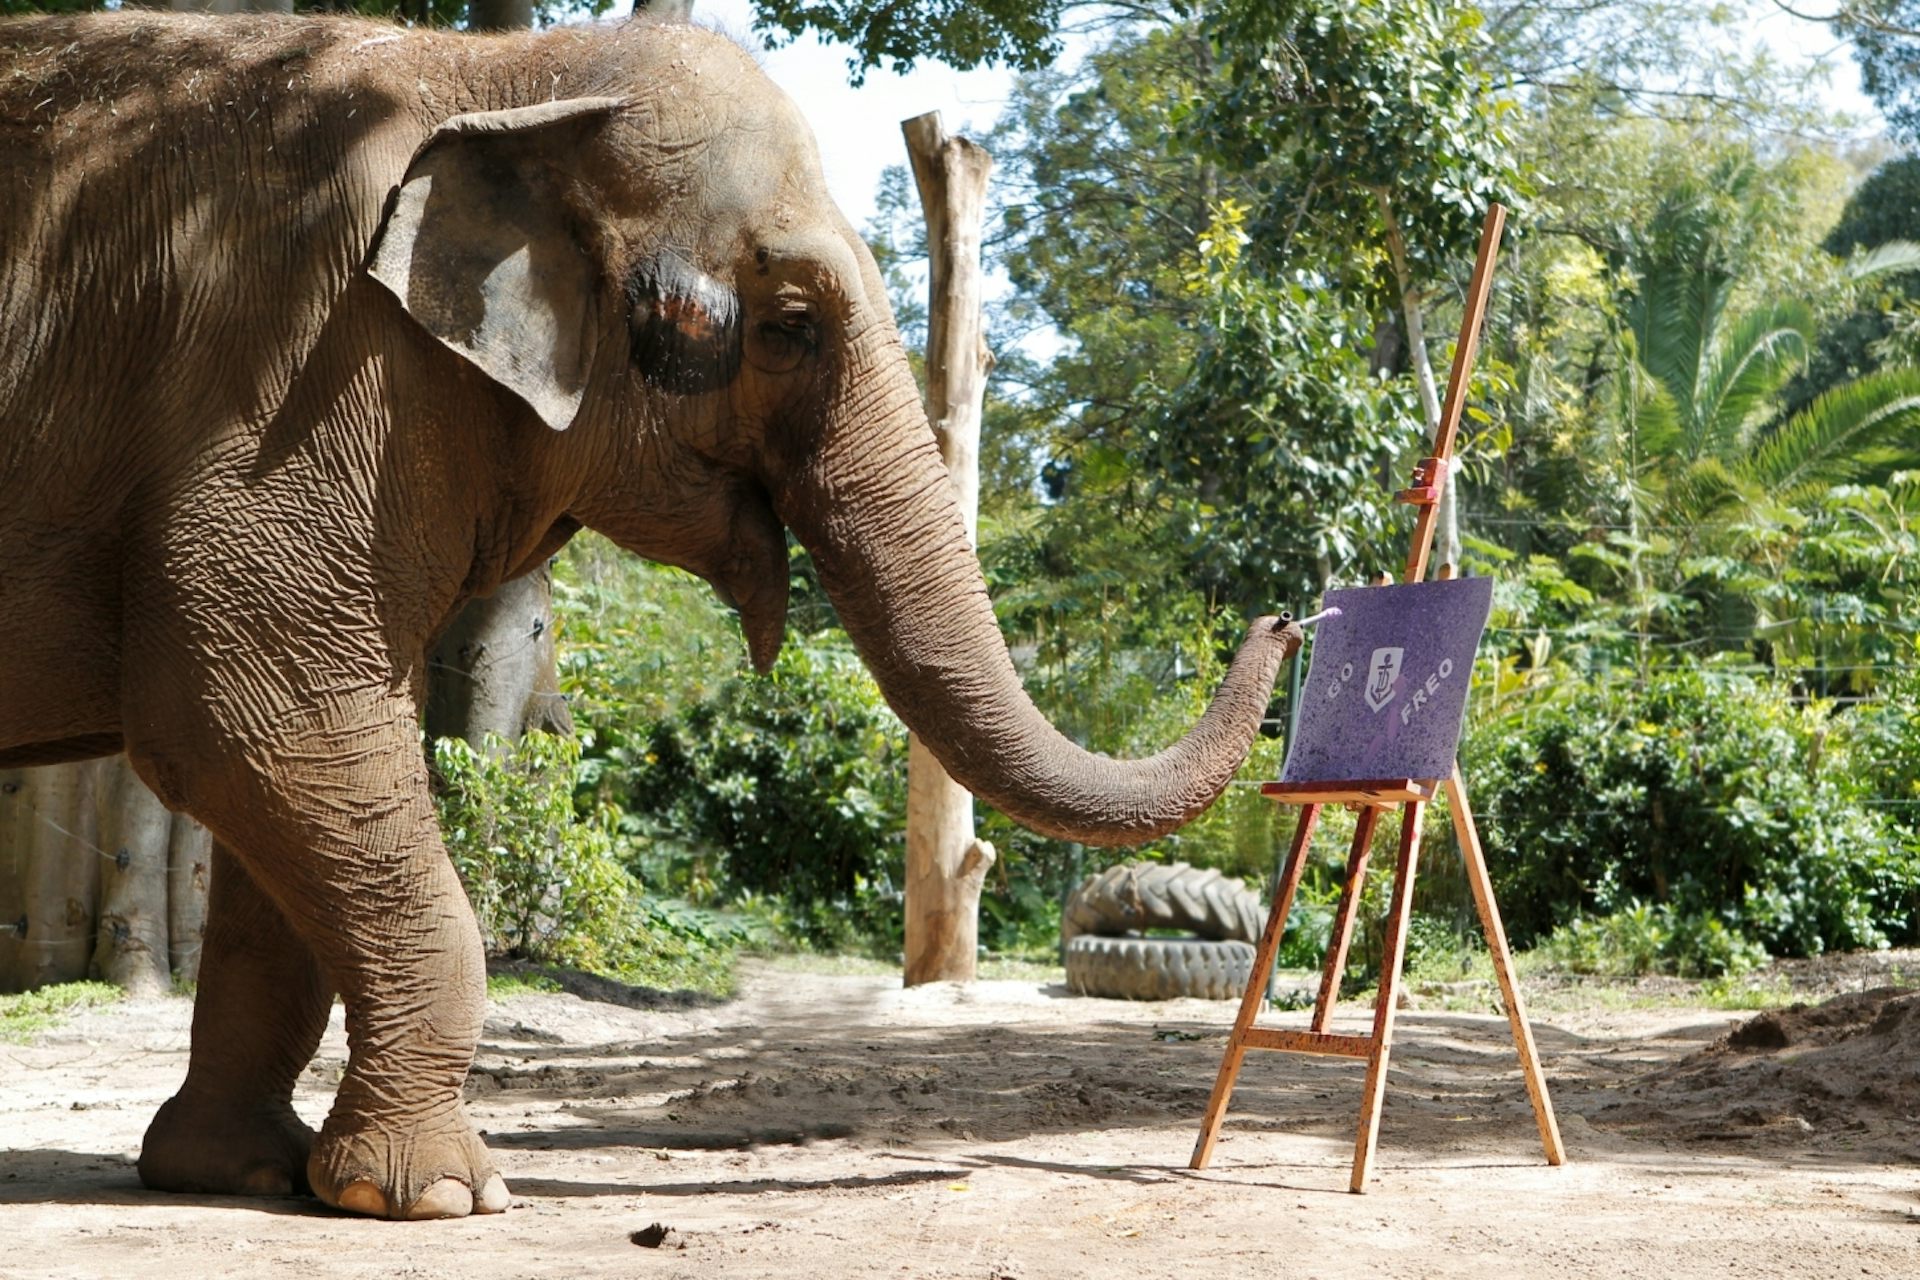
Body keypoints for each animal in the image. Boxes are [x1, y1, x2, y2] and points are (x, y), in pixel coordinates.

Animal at [0, 12, 1301, 1219]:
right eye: (790, 324)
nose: (1289, 618)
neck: (502, 72)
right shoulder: (294, 380)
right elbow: (248, 718)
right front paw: (434, 1195)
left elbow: (277, 778)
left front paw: (242, 1171)